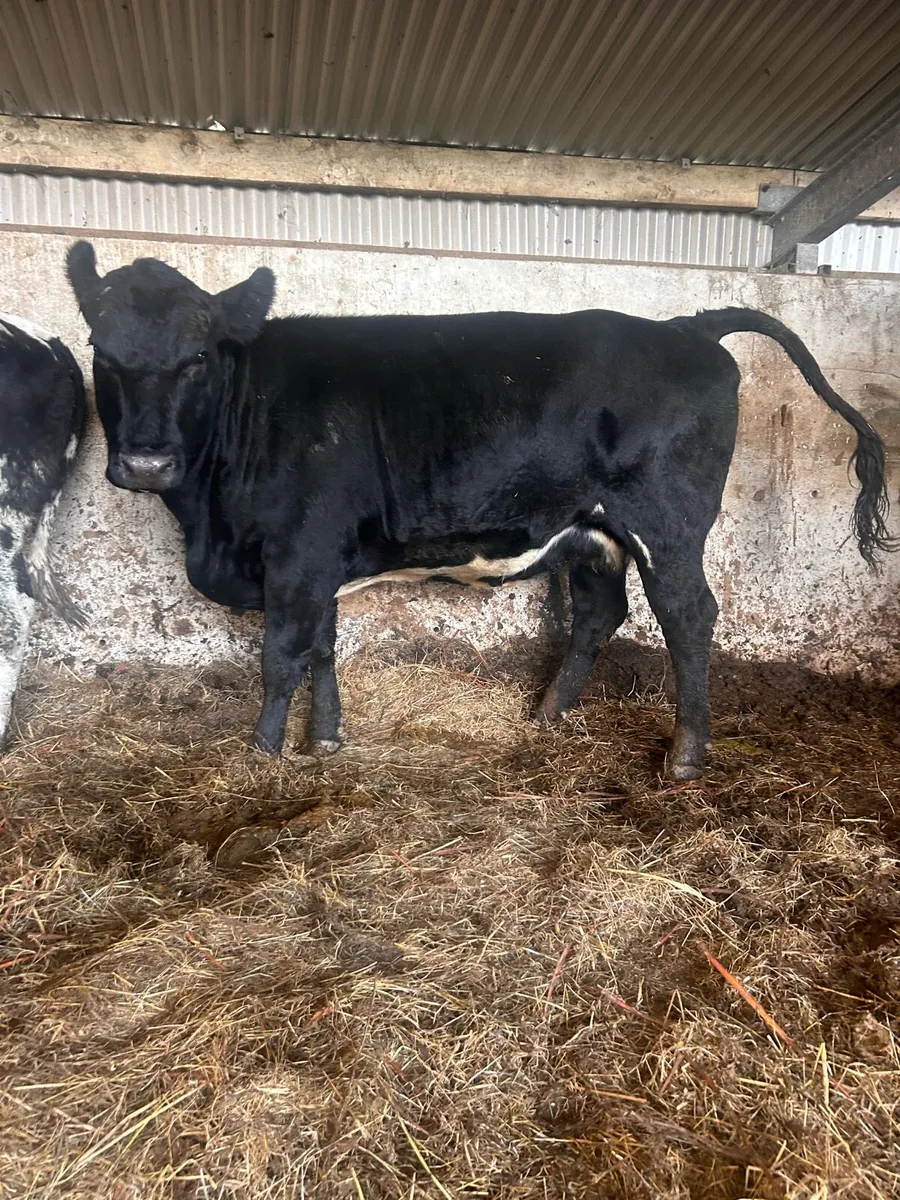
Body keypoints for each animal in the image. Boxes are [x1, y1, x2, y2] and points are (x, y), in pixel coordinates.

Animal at [65, 240, 894, 779]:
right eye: (101, 350)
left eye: (197, 357)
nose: (145, 461)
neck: (208, 521)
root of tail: (685, 326)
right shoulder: (319, 559)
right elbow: (323, 648)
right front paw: (325, 741)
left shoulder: (297, 555)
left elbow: (281, 658)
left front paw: (260, 759)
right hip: (591, 529)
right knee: (602, 612)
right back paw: (550, 713)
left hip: (667, 521)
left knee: (688, 614)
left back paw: (686, 756)